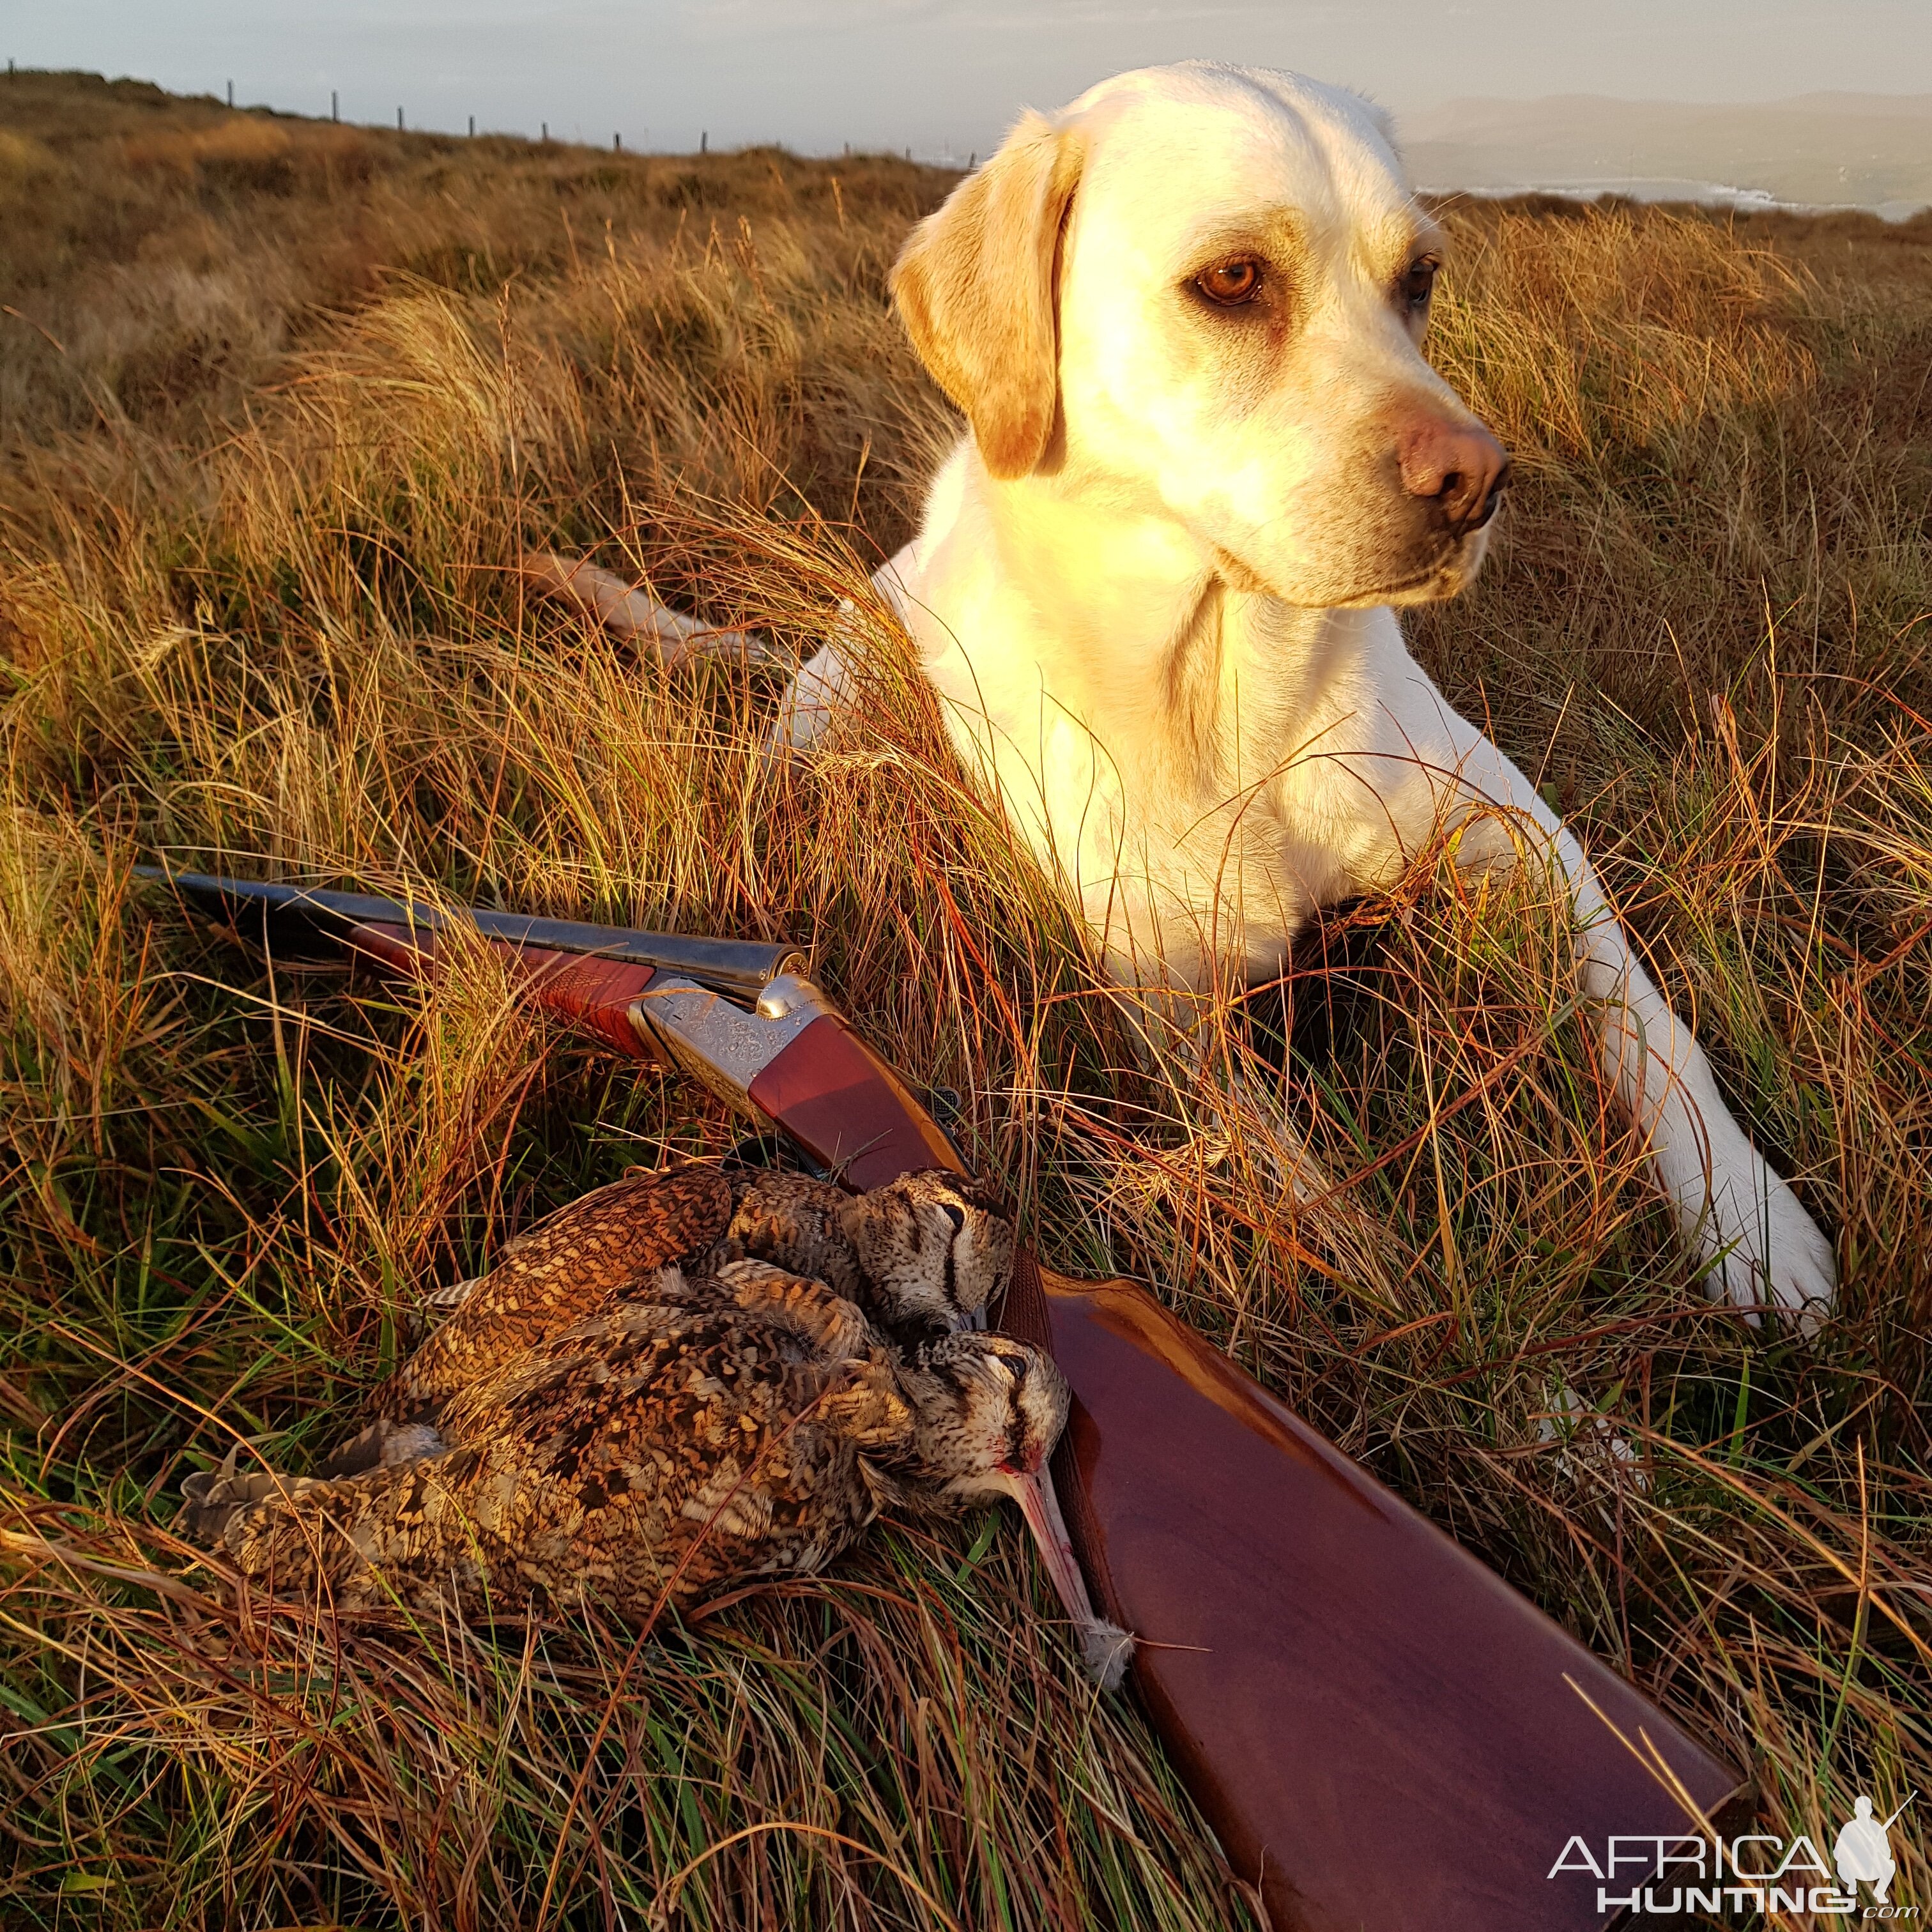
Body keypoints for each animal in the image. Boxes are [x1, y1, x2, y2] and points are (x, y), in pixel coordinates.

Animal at [668, 68, 1839, 1321]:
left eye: (1419, 279)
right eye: (1231, 279)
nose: (1477, 483)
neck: (1235, 701)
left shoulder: (1525, 837)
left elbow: (1656, 1032)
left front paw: (1753, 1226)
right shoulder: (1171, 1017)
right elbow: (1317, 1205)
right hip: (821, 716)